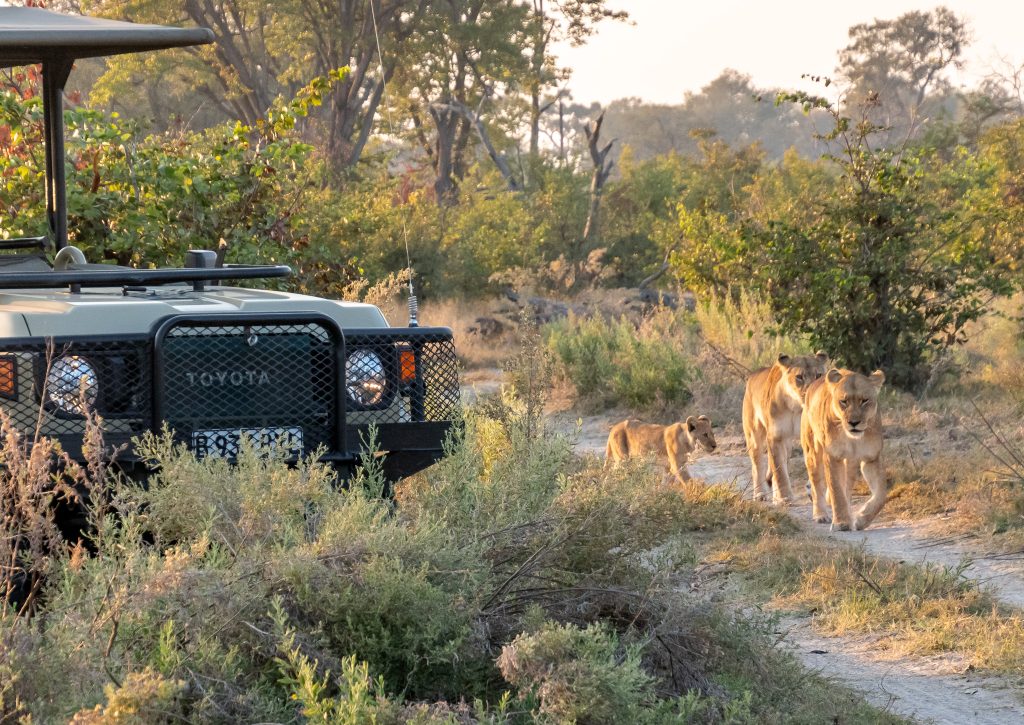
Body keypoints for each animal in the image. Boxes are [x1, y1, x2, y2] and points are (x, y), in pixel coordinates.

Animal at [742, 352, 828, 503]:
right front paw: (785, 496)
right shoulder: (775, 437)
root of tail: (753, 375)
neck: (796, 407)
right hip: (754, 434)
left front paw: (812, 489)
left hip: (787, 443)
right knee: (757, 464)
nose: (811, 391)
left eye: (818, 375)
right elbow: (779, 470)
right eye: (799, 377)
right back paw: (760, 494)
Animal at [801, 368, 886, 531]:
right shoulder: (833, 456)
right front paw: (842, 523)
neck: (853, 438)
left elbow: (881, 495)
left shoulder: (871, 458)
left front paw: (861, 520)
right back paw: (820, 515)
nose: (854, 422)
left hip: (851, 462)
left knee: (847, 484)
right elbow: (836, 490)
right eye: (844, 402)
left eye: (864, 400)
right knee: (816, 483)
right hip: (812, 451)